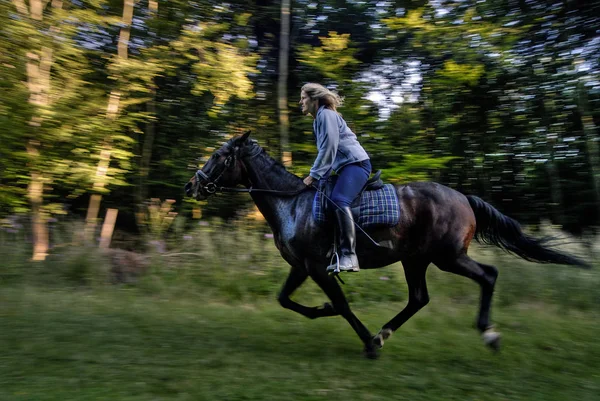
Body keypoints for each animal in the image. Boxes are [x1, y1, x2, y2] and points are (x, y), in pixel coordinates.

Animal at [185, 132, 588, 360]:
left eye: (219, 156)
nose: (192, 185)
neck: (292, 204)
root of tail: (464, 198)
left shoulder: (317, 267)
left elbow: (343, 305)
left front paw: (362, 339)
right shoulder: (301, 266)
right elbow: (285, 299)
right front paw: (329, 313)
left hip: (448, 257)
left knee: (488, 276)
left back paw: (488, 334)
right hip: (416, 260)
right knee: (419, 299)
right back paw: (384, 333)